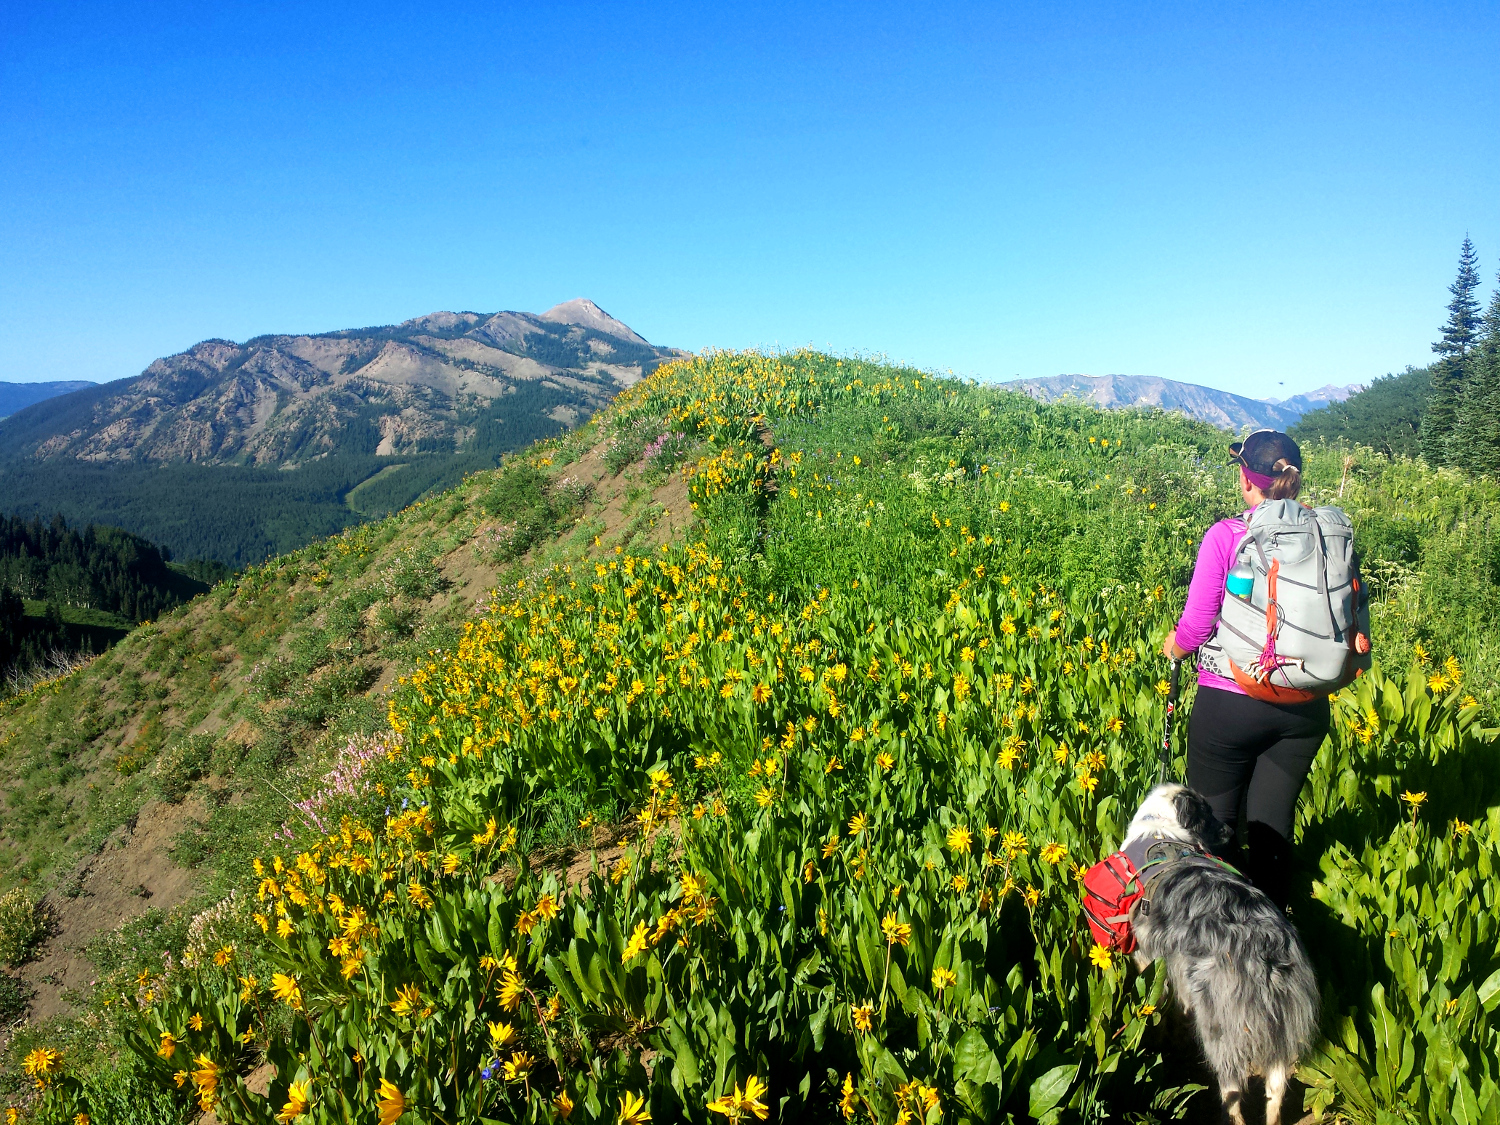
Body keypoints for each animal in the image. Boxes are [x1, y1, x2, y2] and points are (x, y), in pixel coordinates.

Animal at [1122, 786, 1320, 1125]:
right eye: (1208, 813)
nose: (1229, 832)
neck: (1162, 829)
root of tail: (1266, 953)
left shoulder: (1151, 962)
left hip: (1221, 1027)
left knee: (1233, 1091)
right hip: (1282, 1026)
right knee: (1276, 1088)